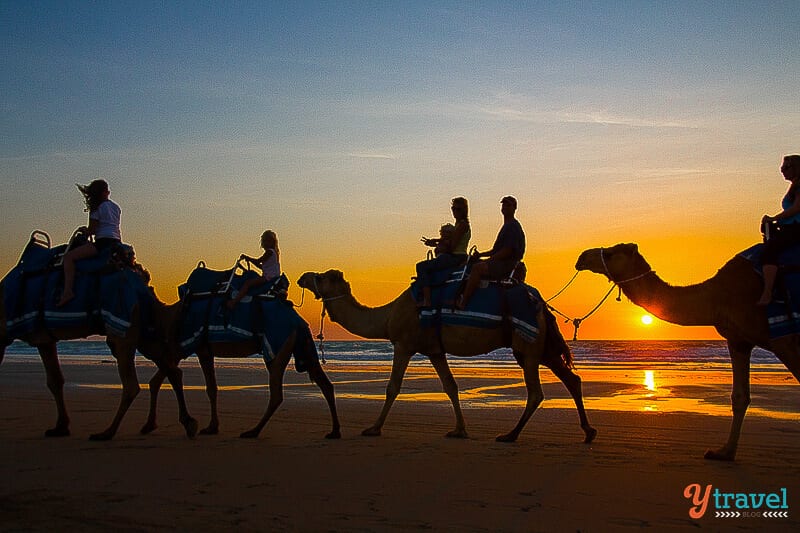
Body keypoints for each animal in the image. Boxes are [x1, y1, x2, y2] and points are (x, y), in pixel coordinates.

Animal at [0, 280, 198, 438]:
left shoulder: (38, 336)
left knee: (136, 383)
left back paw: (109, 432)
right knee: (168, 373)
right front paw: (61, 427)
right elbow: (55, 380)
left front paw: (61, 426)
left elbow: (54, 380)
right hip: (142, 336)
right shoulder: (44, 337)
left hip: (128, 334)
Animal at [139, 298, 340, 438]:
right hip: (302, 347)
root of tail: (299, 322)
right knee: (325, 384)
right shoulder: (185, 349)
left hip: (277, 348)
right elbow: (157, 380)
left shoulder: (194, 346)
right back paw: (334, 431)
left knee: (276, 394)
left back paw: (253, 431)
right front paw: (149, 425)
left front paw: (205, 426)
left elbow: (206, 386)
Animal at [296, 268, 596, 442]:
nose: (302, 276)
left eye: (320, 277)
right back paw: (588, 432)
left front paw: (373, 428)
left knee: (536, 391)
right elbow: (450, 386)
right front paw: (459, 430)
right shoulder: (435, 350)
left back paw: (510, 435)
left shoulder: (403, 344)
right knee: (571, 379)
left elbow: (393, 387)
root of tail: (541, 304)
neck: (387, 316)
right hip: (542, 347)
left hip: (527, 344)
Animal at [580, 243, 796, 460]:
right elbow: (739, 396)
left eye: (610, 253)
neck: (717, 298)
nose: (581, 257)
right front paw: (724, 452)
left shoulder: (783, 339)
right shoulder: (738, 341)